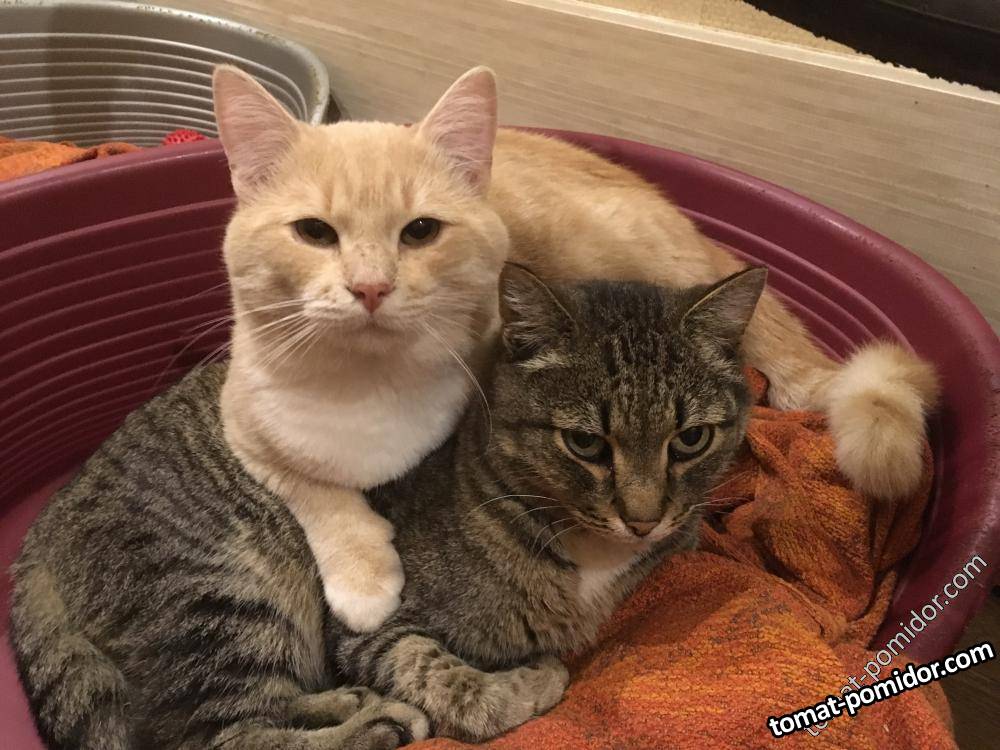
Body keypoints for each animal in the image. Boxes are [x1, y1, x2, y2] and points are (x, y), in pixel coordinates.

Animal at [10, 264, 764, 749]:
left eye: (691, 439)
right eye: (585, 443)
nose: (643, 517)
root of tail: (38, 537)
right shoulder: (372, 624)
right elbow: (446, 676)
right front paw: (527, 683)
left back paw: (345, 702)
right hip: (222, 592)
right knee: (215, 735)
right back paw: (376, 723)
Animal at [210, 65, 938, 633]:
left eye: (420, 231)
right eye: (313, 232)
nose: (369, 287)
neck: (369, 384)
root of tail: (698, 235)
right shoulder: (241, 422)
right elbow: (314, 489)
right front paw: (364, 577)